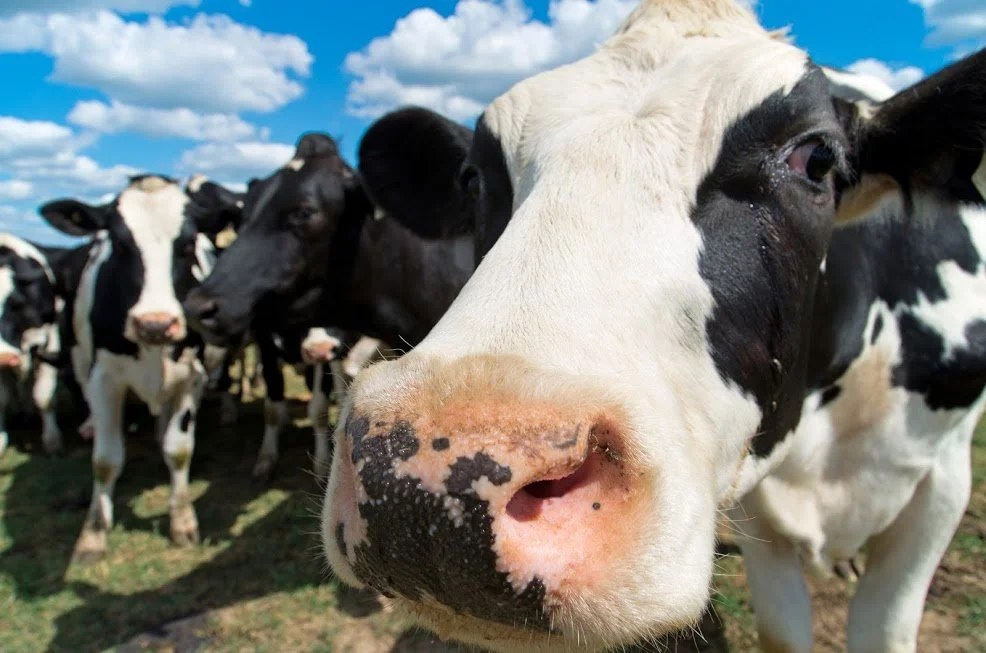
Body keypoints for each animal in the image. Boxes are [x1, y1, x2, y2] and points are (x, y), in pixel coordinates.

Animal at [38, 173, 229, 562]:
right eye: (119, 244)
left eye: (187, 244)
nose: (156, 324)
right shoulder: (103, 380)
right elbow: (105, 460)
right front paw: (93, 534)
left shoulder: (191, 377)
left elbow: (178, 449)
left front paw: (182, 521)